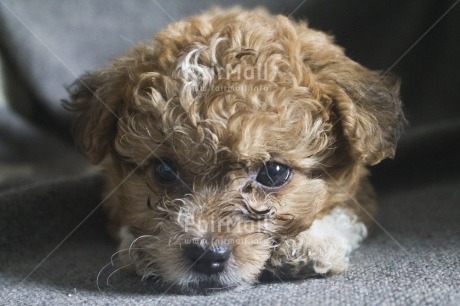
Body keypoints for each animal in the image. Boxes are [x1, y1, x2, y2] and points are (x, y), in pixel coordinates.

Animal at [66, 7, 404, 292]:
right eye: (164, 170)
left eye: (273, 173)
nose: (206, 255)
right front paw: (139, 249)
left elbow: (343, 213)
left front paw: (310, 244)